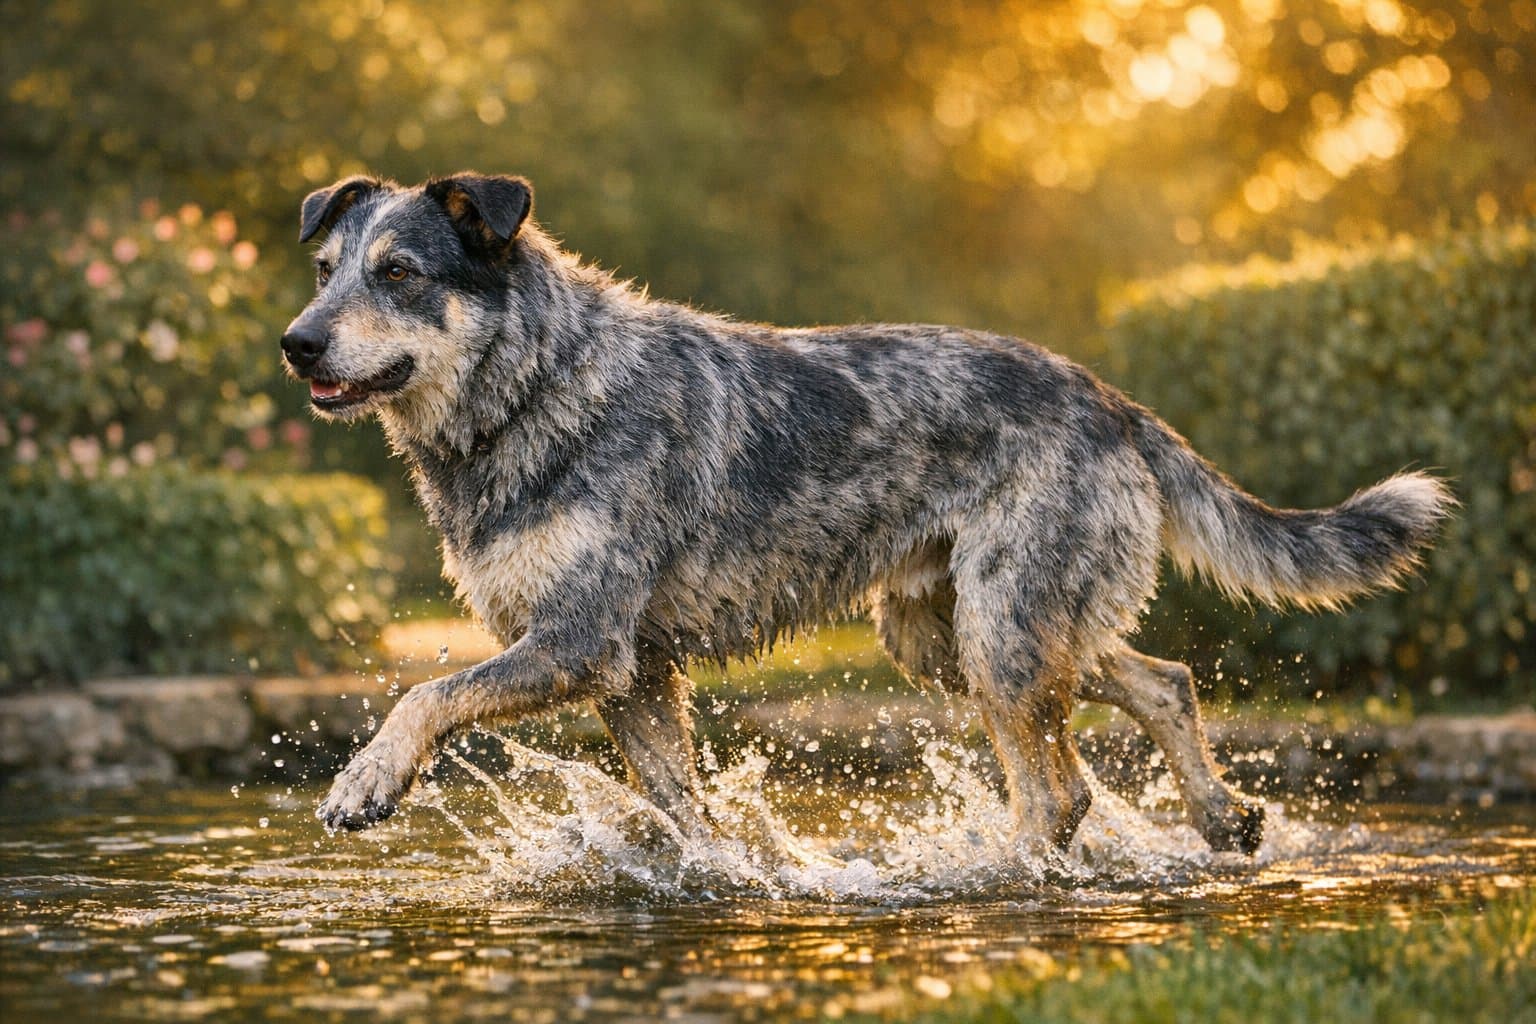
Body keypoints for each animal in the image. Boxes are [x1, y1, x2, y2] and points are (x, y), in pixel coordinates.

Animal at [285, 172, 1450, 854]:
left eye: (399, 272)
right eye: (325, 268)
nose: (297, 342)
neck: (540, 386)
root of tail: (1110, 397)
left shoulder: (579, 642)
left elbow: (426, 693)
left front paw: (366, 780)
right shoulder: (635, 674)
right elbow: (684, 811)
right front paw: (729, 872)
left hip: (999, 632)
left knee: (1058, 793)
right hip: (955, 633)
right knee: (1161, 680)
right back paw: (1220, 815)